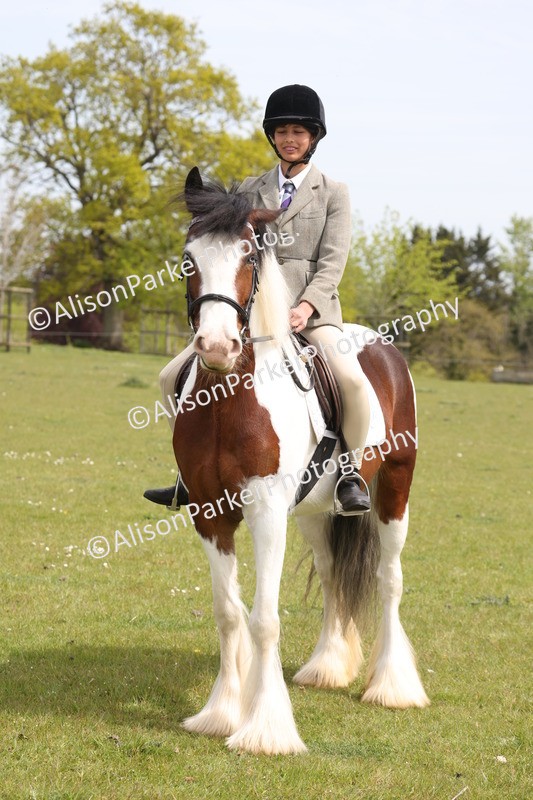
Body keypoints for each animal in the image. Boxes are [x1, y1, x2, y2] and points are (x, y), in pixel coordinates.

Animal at [171, 166, 429, 755]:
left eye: (248, 256)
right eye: (189, 259)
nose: (216, 347)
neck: (228, 397)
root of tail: (379, 342)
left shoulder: (266, 510)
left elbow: (264, 618)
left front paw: (265, 730)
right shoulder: (207, 512)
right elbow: (228, 613)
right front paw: (220, 713)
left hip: (395, 488)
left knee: (389, 578)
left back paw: (391, 687)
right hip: (314, 511)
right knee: (334, 577)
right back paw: (327, 667)